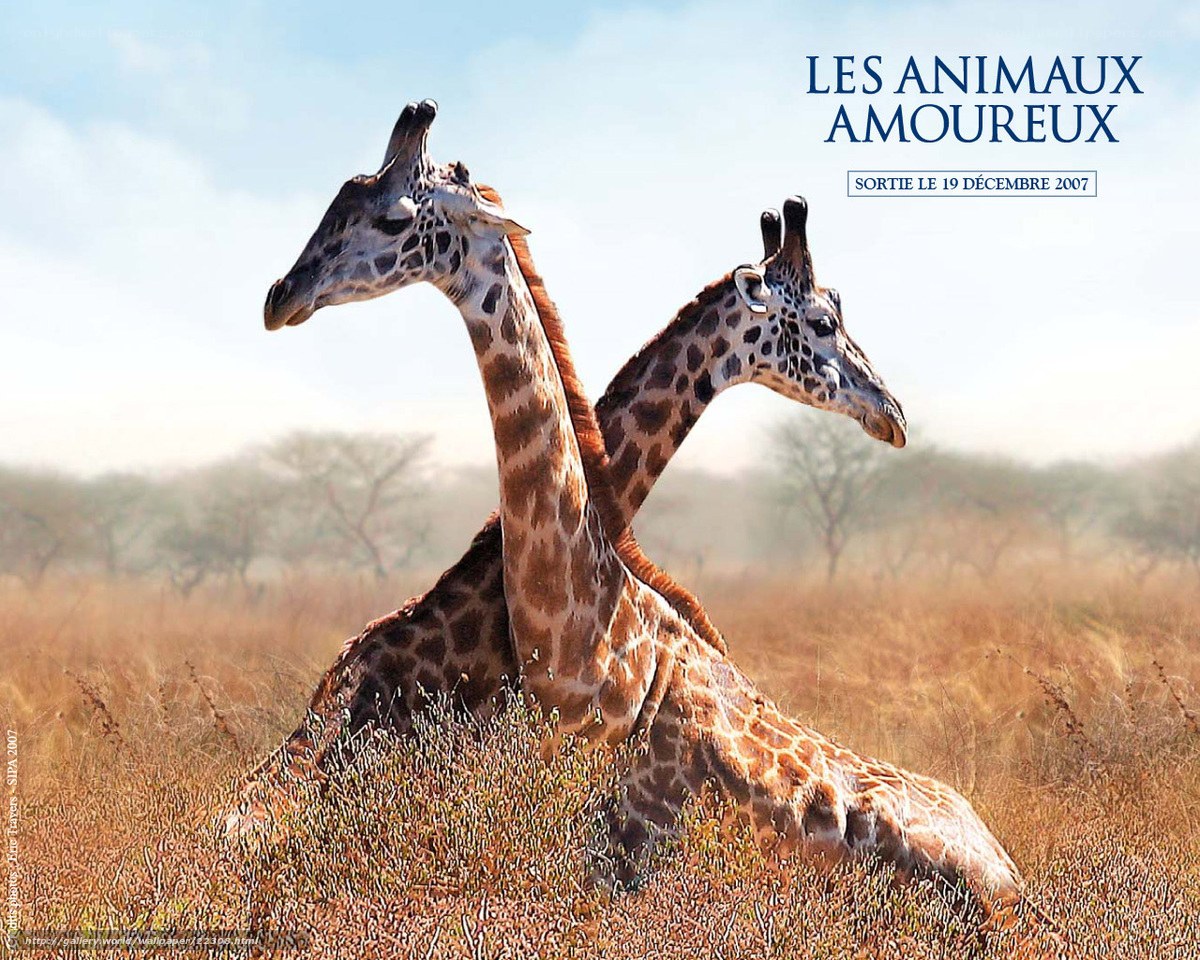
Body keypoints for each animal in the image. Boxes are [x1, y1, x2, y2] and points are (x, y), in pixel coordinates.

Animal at [258, 100, 1028, 918]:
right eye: (823, 322)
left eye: (393, 217)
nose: (281, 295)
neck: (595, 635)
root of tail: (1012, 879)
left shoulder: (624, 845)